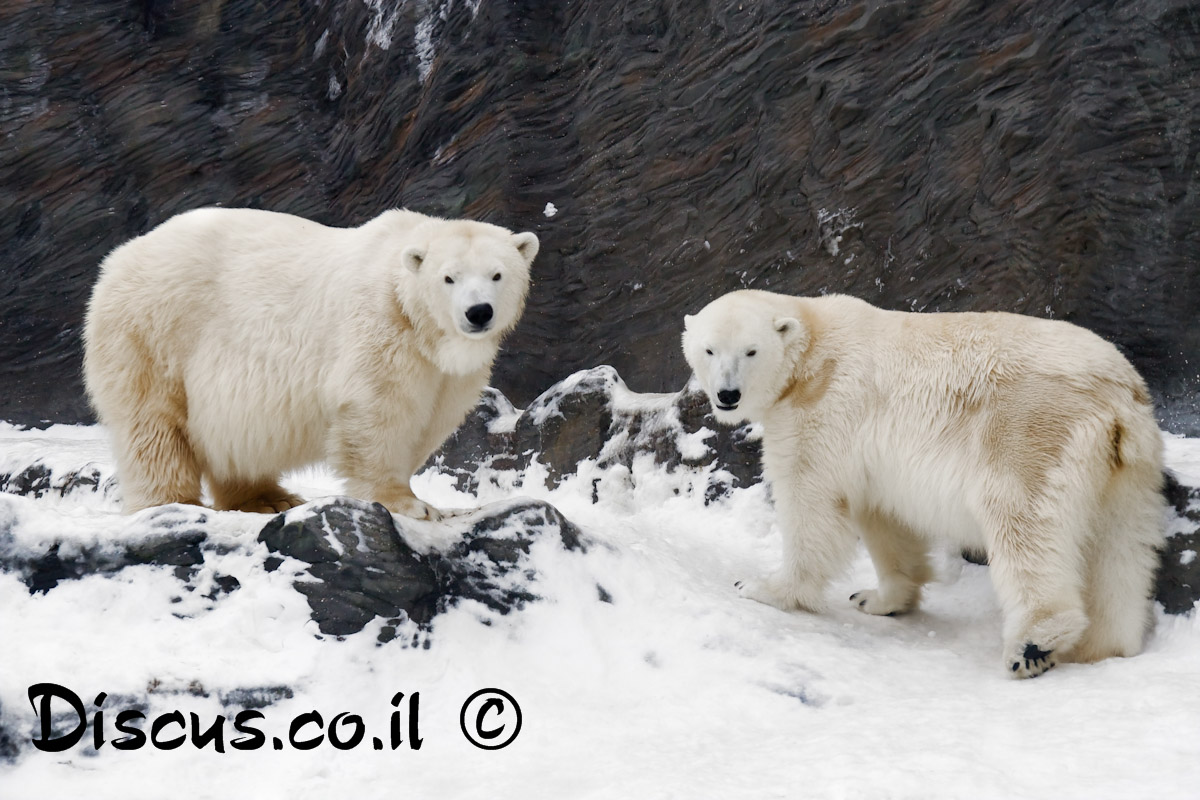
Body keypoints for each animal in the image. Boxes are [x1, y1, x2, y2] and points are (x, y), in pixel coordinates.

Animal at [82, 206, 537, 520]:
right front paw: (408, 504)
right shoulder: (380, 329)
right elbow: (379, 411)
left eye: (497, 274)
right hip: (154, 333)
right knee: (154, 425)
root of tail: (115, 261)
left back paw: (270, 498)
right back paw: (174, 503)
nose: (478, 313)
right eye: (449, 277)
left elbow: (430, 418)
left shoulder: (442, 372)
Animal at [686, 291, 1161, 681]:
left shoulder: (822, 410)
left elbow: (811, 502)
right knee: (1118, 547)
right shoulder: (871, 455)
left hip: (1030, 429)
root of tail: (1117, 391)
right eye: (709, 349)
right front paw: (877, 598)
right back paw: (1103, 646)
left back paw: (1033, 644)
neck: (811, 349)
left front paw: (763, 587)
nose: (727, 395)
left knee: (1023, 521)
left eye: (751, 351)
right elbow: (882, 516)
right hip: (1127, 468)